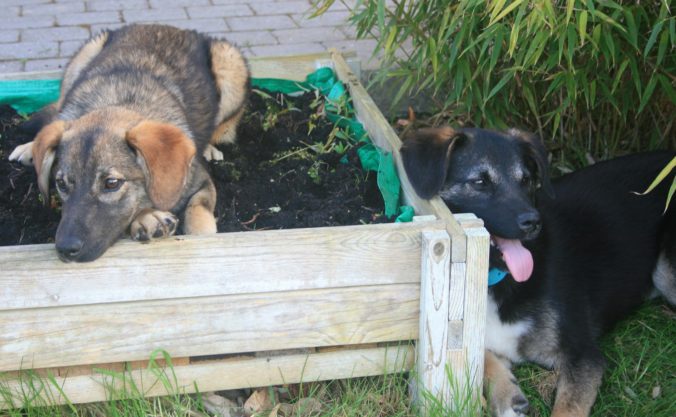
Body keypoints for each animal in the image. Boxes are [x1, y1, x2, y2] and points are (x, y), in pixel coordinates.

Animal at [8, 23, 248, 260]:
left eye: (111, 183)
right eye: (61, 184)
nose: (66, 250)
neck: (120, 101)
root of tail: (166, 26)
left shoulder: (201, 182)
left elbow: (198, 215)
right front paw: (148, 217)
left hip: (231, 65)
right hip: (83, 58)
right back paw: (30, 148)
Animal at [402, 126, 676, 416]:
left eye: (525, 180)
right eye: (480, 182)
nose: (533, 222)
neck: (495, 279)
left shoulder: (583, 354)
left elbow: (566, 409)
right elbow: (481, 355)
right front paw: (508, 395)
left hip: (665, 273)